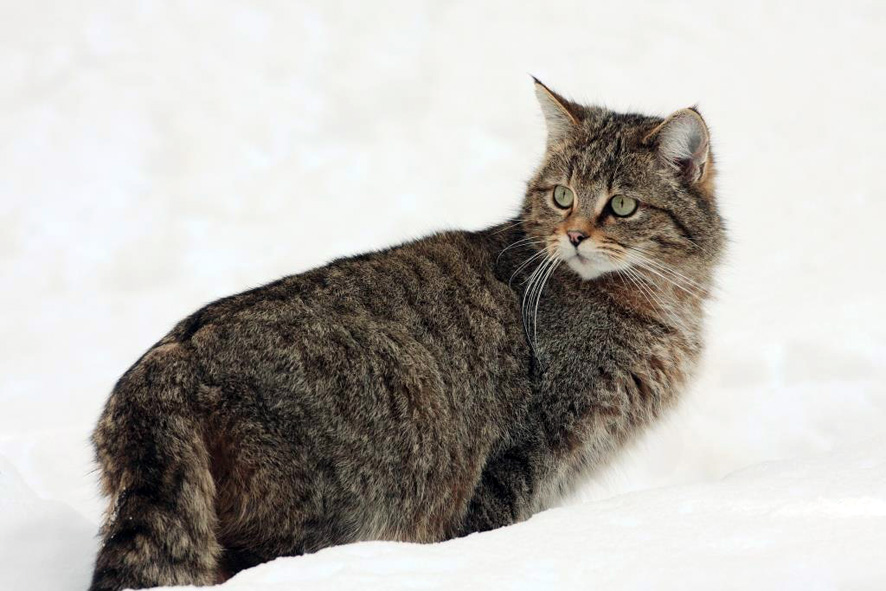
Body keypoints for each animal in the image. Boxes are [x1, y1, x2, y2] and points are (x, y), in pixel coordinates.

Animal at [88, 80, 728, 591]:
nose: (573, 235)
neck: (661, 305)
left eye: (621, 205)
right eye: (562, 195)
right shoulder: (523, 454)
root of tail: (167, 364)